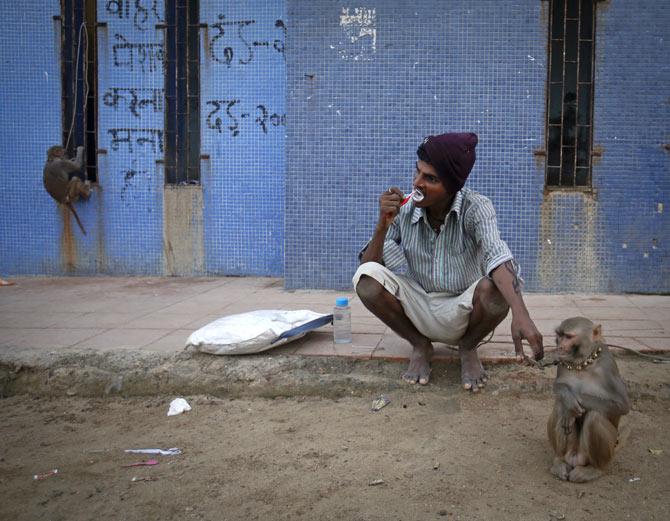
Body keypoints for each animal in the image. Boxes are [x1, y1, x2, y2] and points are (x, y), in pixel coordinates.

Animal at [548, 316, 632, 484]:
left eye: (568, 337)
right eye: (559, 335)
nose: (559, 345)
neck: (584, 363)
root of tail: (576, 458)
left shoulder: (608, 366)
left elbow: (622, 405)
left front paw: (573, 402)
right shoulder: (563, 362)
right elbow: (558, 386)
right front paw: (568, 399)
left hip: (605, 449)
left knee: (595, 416)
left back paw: (595, 469)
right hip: (571, 450)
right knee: (559, 405)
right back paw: (559, 461)